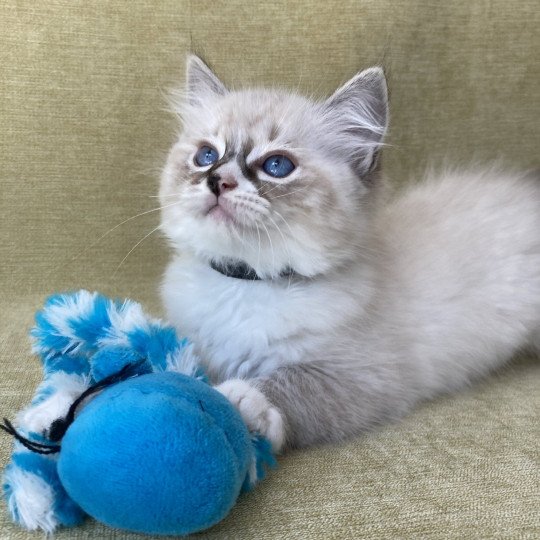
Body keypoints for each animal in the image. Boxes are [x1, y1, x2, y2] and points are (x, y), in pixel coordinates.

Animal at [160, 54, 540, 452]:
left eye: (277, 166)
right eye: (206, 156)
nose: (216, 180)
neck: (247, 282)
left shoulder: (360, 376)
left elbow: (292, 383)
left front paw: (238, 401)